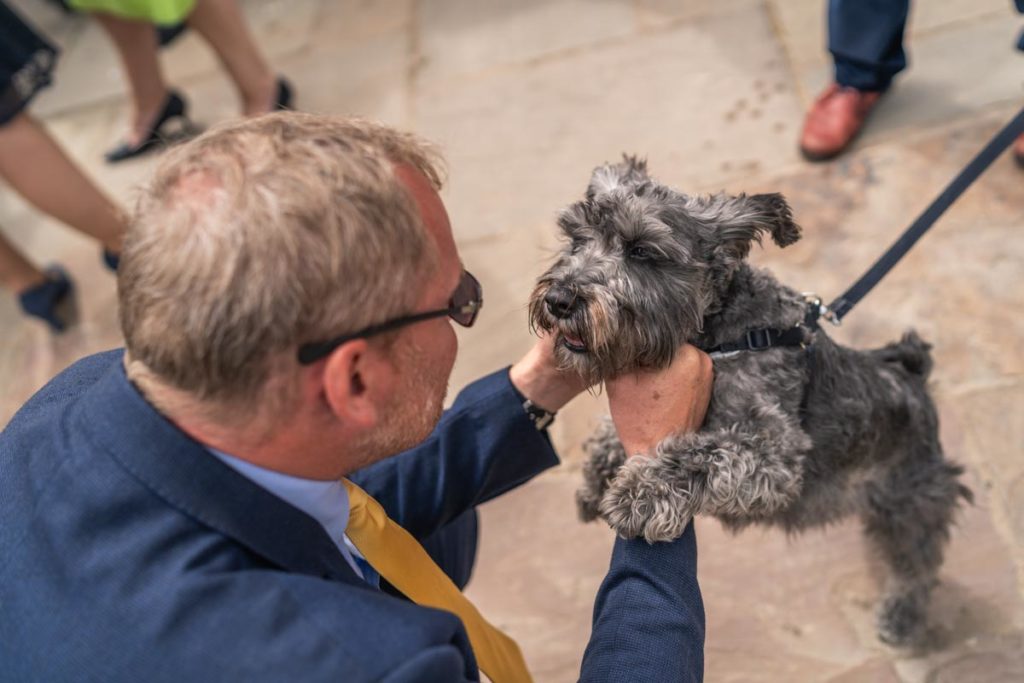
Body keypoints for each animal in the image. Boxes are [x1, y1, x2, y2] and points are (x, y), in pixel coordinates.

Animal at [532, 156, 970, 647]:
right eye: (576, 238)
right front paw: (598, 473)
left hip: (912, 503)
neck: (726, 333)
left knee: (918, 565)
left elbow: (701, 453)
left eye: (641, 251)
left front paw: (639, 492)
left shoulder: (772, 454)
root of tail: (915, 376)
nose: (559, 299)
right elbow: (618, 436)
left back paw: (901, 615)